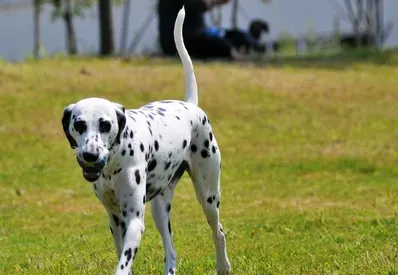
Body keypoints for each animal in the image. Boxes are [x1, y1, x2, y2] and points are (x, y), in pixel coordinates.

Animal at [61, 6, 232, 275]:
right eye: (79, 124)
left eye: (105, 124)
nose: (90, 155)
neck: (114, 162)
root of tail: (191, 106)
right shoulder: (116, 219)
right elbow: (123, 257)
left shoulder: (134, 220)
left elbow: (123, 264)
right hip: (160, 209)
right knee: (171, 251)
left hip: (208, 197)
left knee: (219, 231)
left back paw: (223, 266)